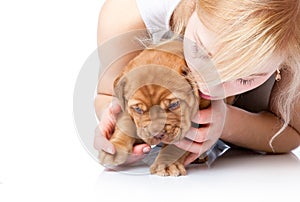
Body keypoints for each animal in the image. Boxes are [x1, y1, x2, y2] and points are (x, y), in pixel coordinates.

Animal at [98, 40, 211, 176]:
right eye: (138, 109)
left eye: (174, 105)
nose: (157, 134)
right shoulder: (126, 107)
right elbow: (125, 125)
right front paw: (114, 148)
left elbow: (177, 145)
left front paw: (167, 164)